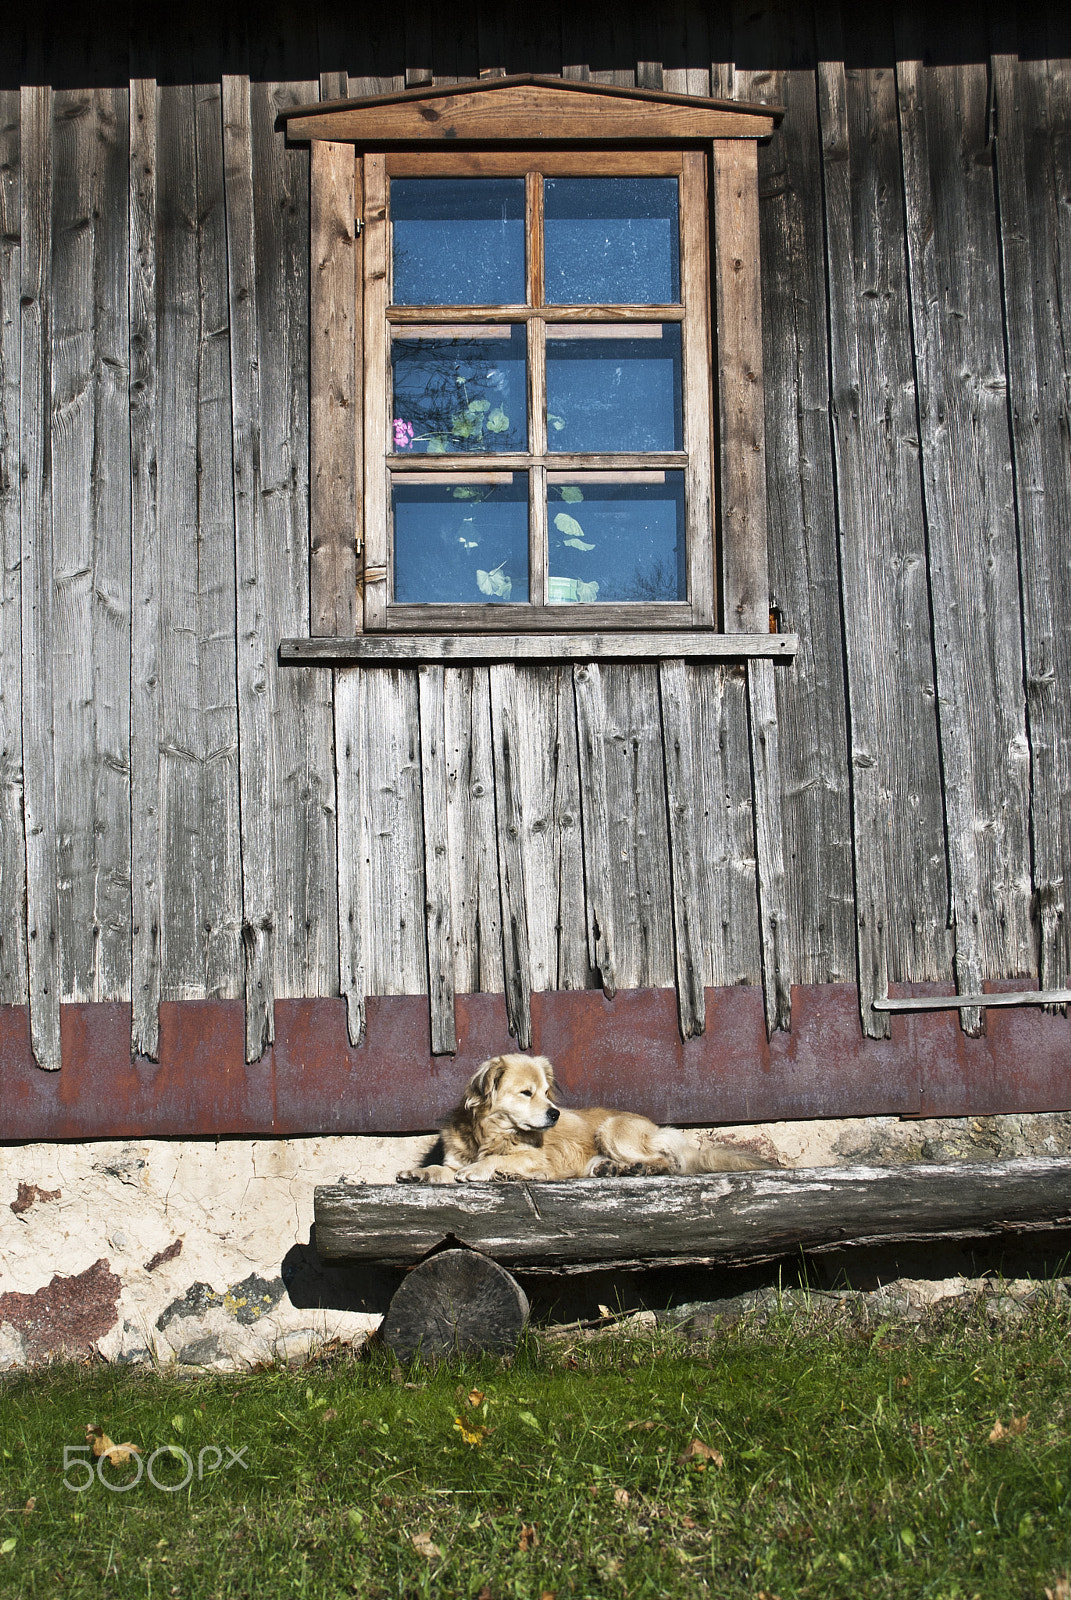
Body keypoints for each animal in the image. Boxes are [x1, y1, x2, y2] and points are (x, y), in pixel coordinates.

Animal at [397, 1056, 771, 1184]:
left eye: (547, 1092)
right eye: (526, 1093)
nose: (555, 1113)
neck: (490, 1133)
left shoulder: (540, 1156)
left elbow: (501, 1159)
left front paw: (482, 1169)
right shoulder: (455, 1157)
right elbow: (441, 1168)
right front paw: (418, 1173)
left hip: (613, 1129)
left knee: (668, 1162)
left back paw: (640, 1169)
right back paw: (611, 1169)